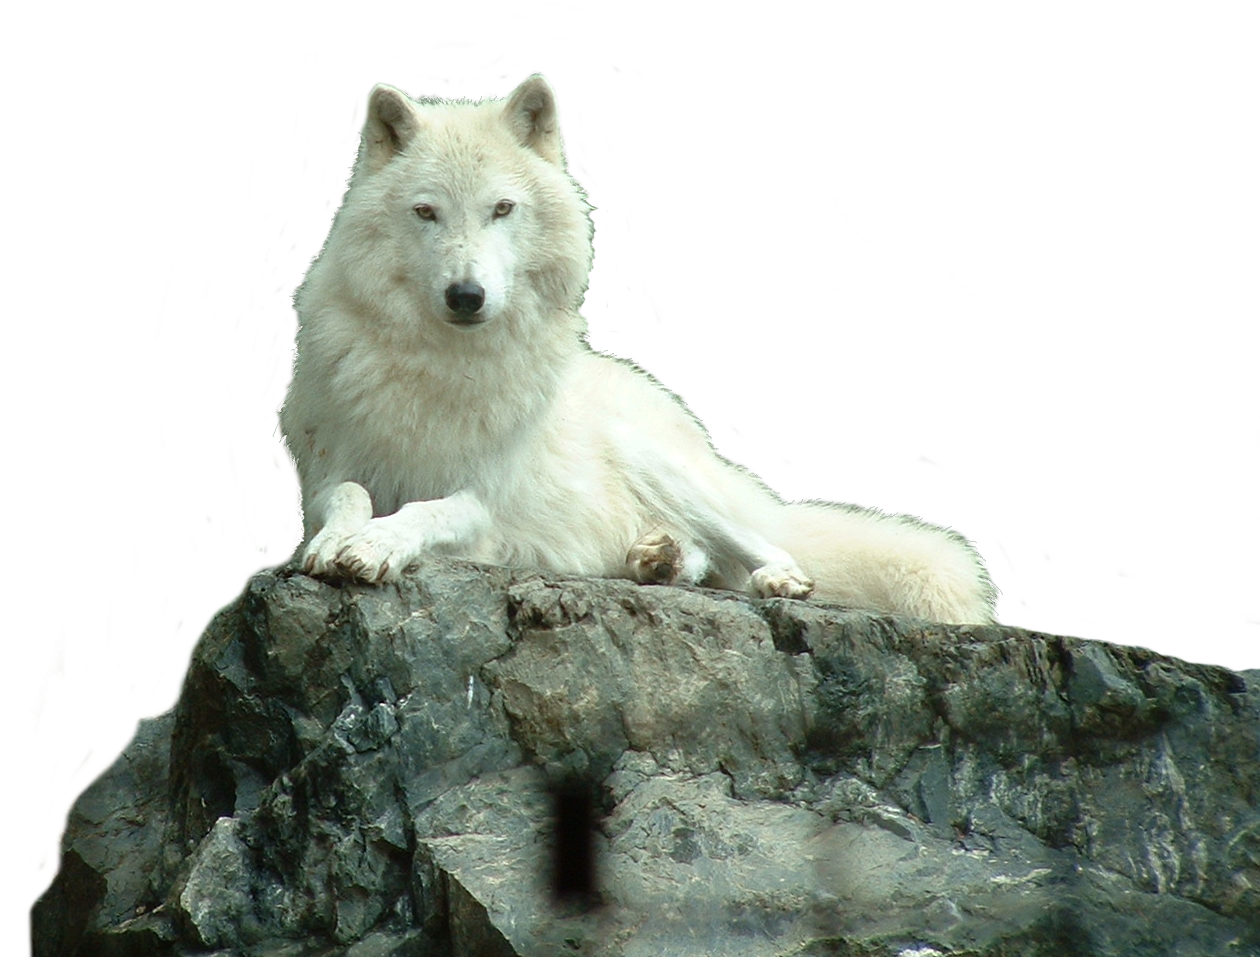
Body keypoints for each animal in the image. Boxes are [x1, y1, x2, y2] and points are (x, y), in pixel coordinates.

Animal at [277, 74, 1000, 624]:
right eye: (426, 212)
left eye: (502, 209)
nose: (466, 296)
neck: (442, 366)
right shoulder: (323, 477)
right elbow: (347, 495)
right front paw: (341, 540)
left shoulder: (486, 502)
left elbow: (429, 508)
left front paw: (377, 544)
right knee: (704, 559)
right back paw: (656, 558)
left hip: (655, 462)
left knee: (758, 547)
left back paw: (768, 576)